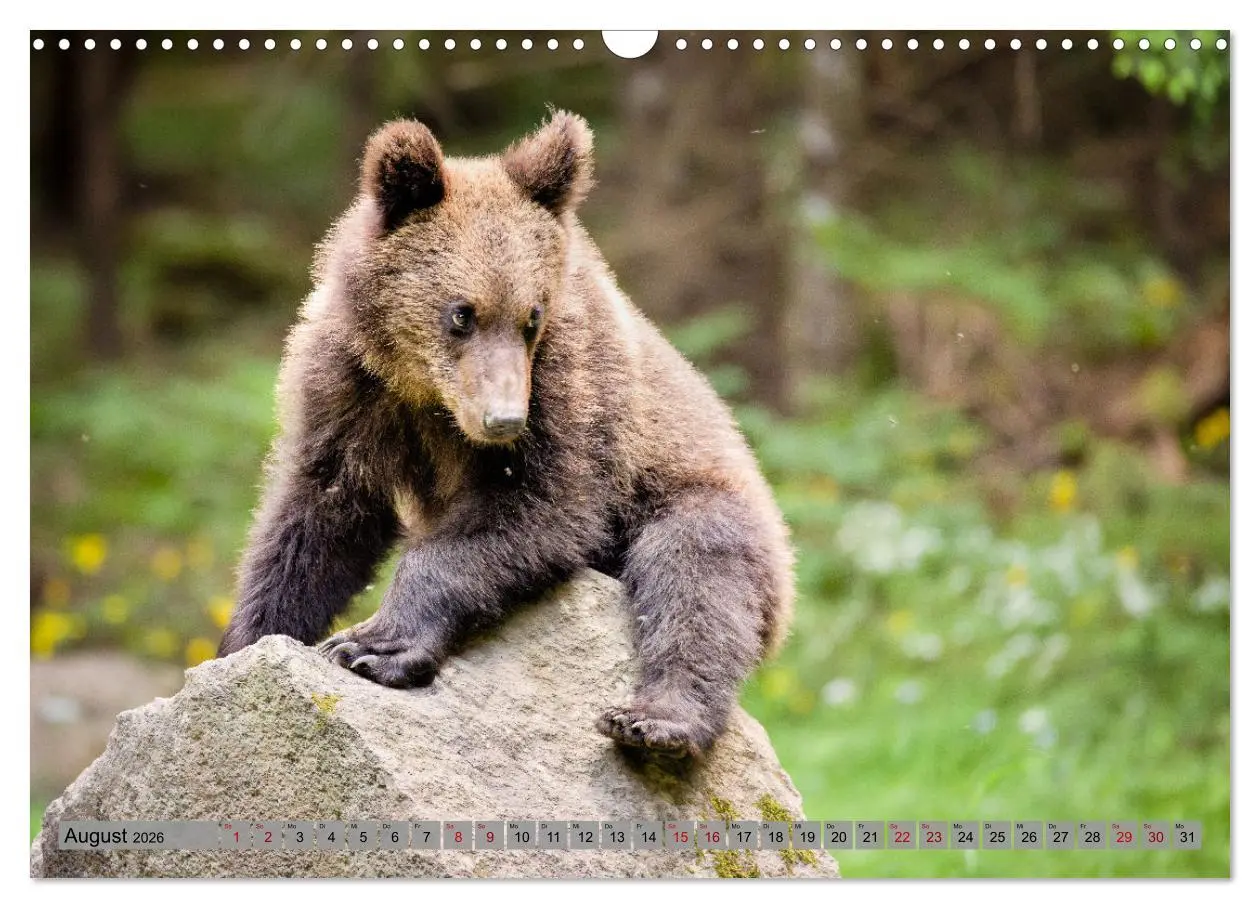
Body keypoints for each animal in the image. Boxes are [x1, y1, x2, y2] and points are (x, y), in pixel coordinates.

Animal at [217, 110, 795, 756]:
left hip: (705, 499)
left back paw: (654, 722)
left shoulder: (571, 390)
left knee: (697, 577)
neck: (424, 392)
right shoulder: (351, 386)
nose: (504, 420)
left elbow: (535, 513)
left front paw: (373, 645)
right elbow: (321, 515)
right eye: (460, 312)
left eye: (531, 317)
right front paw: (249, 642)